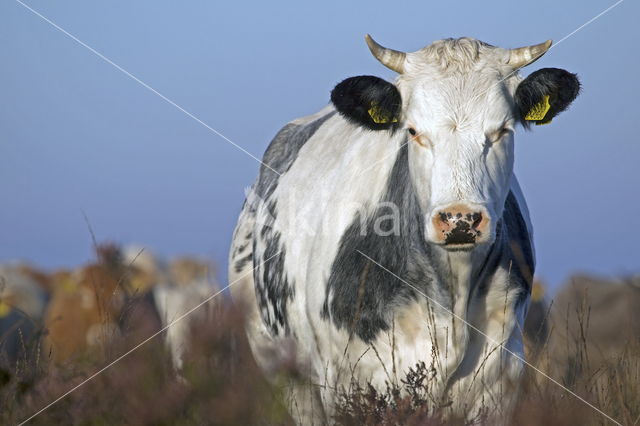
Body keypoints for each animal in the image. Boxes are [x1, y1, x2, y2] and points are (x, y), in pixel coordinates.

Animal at [229, 34, 580, 422]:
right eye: (413, 131)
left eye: (503, 130)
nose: (459, 219)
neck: (451, 299)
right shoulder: (349, 383)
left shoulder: (499, 383)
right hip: (288, 375)